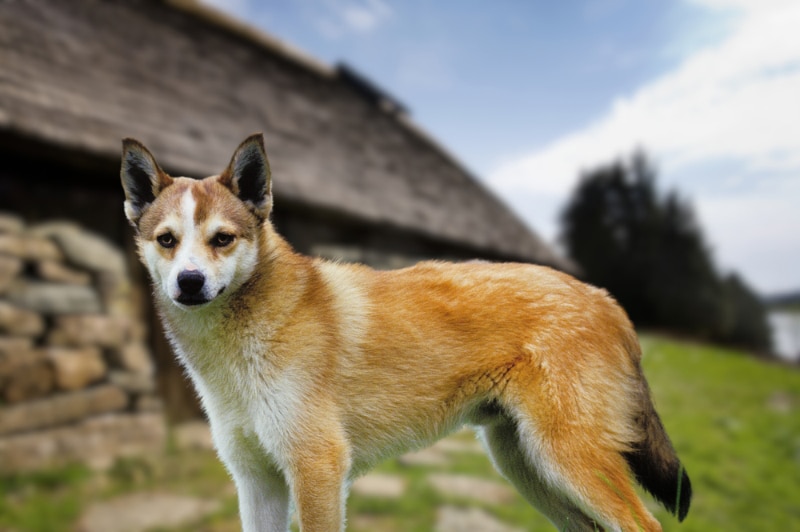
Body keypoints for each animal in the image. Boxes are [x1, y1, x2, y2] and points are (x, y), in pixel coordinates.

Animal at [122, 136, 692, 532]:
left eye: (222, 239)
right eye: (167, 240)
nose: (189, 282)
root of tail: (604, 298)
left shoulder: (317, 470)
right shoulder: (257, 481)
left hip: (567, 460)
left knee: (644, 524)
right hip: (528, 467)